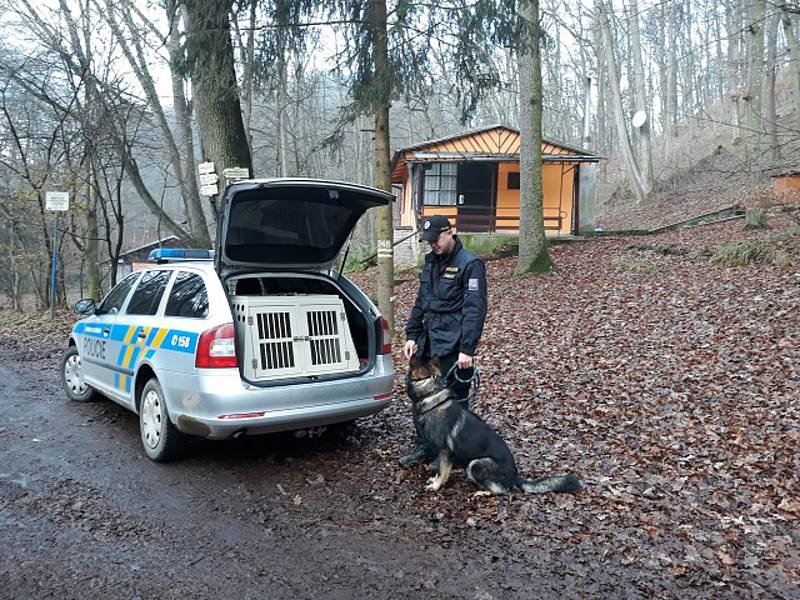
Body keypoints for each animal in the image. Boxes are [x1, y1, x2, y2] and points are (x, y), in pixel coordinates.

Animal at [406, 358, 580, 494]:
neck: (432, 394)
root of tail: (514, 477)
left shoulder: (444, 452)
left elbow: (443, 472)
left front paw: (436, 486)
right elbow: (441, 471)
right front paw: (435, 480)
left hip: (476, 464)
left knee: (501, 490)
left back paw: (482, 492)